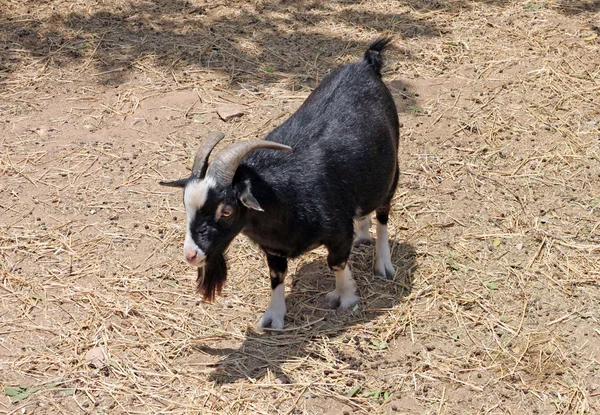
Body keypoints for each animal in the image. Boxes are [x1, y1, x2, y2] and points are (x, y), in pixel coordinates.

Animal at [162, 39, 400, 332]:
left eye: (226, 210)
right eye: (185, 205)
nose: (191, 255)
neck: (288, 198)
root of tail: (366, 65)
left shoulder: (339, 233)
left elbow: (336, 263)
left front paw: (345, 296)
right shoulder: (273, 249)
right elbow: (276, 276)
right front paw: (273, 317)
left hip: (392, 173)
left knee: (383, 215)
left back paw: (384, 264)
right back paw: (363, 235)